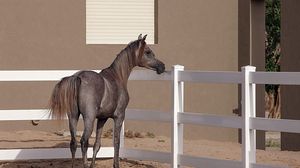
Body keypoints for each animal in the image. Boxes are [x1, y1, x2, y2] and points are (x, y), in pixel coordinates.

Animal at [50, 34, 165, 168]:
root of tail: (78, 77)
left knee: (73, 143)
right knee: (83, 141)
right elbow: (116, 142)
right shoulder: (119, 116)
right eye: (148, 52)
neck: (117, 76)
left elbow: (97, 145)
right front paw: (116, 164)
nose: (162, 66)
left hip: (73, 117)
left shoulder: (102, 118)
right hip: (88, 118)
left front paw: (93, 165)